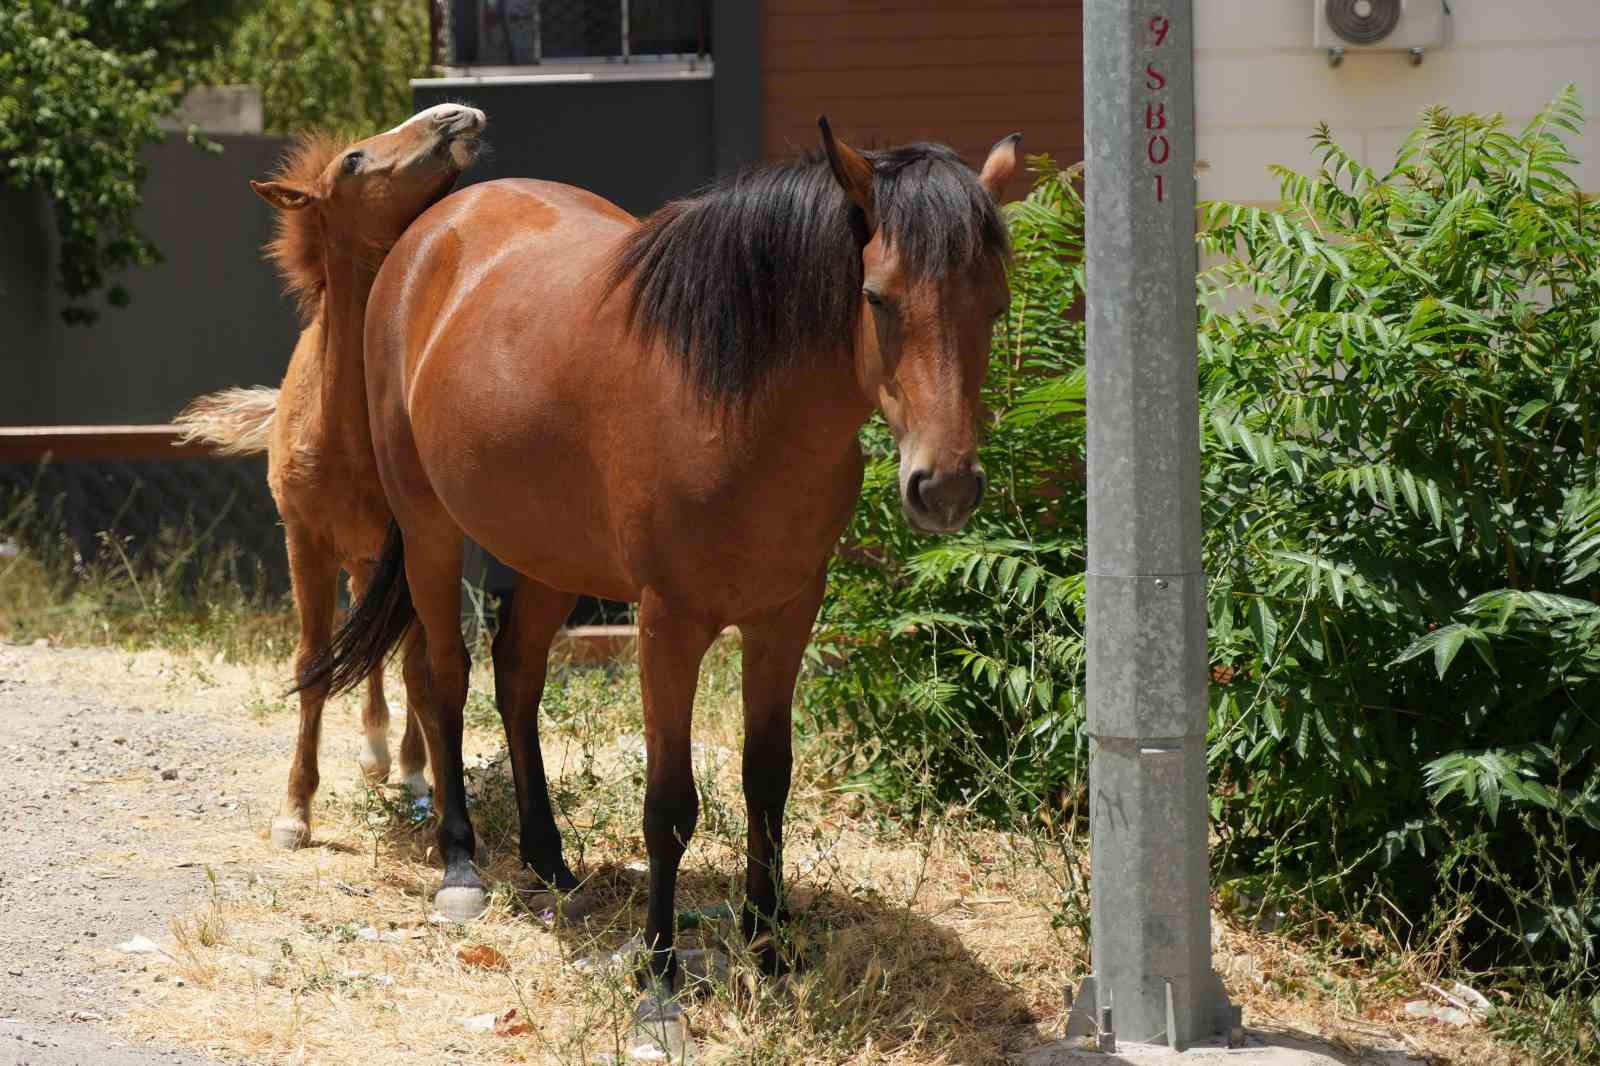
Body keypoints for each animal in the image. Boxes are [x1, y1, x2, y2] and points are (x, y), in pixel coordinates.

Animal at [179, 105, 483, 845]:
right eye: (352, 160)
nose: (454, 115)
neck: (344, 431)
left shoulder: (419, 550)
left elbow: (420, 670)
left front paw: (431, 787)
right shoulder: (306, 545)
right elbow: (315, 665)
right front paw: (295, 811)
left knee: (400, 657)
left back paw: (407, 768)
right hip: (358, 562)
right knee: (367, 652)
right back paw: (376, 754)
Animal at [305, 120, 1017, 992]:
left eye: (994, 304)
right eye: (877, 298)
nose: (944, 486)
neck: (737, 407)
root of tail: (434, 228)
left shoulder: (785, 616)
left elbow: (767, 780)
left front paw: (769, 943)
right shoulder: (667, 626)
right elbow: (670, 804)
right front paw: (659, 968)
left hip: (549, 553)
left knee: (517, 676)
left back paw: (549, 864)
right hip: (432, 529)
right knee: (443, 678)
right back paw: (463, 866)